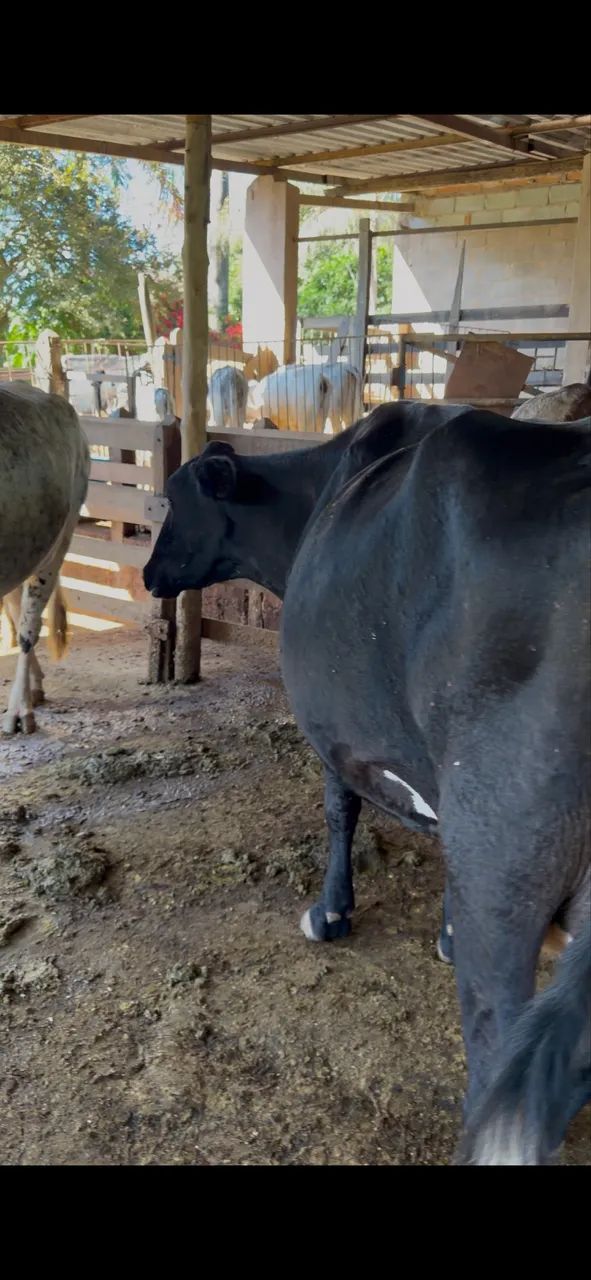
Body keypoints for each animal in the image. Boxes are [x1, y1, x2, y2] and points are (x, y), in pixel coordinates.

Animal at [144, 404, 590, 1163]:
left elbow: (338, 812)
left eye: (175, 500)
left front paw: (330, 913)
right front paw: (441, 930)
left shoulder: (335, 730)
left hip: (506, 853)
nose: (146, 572)